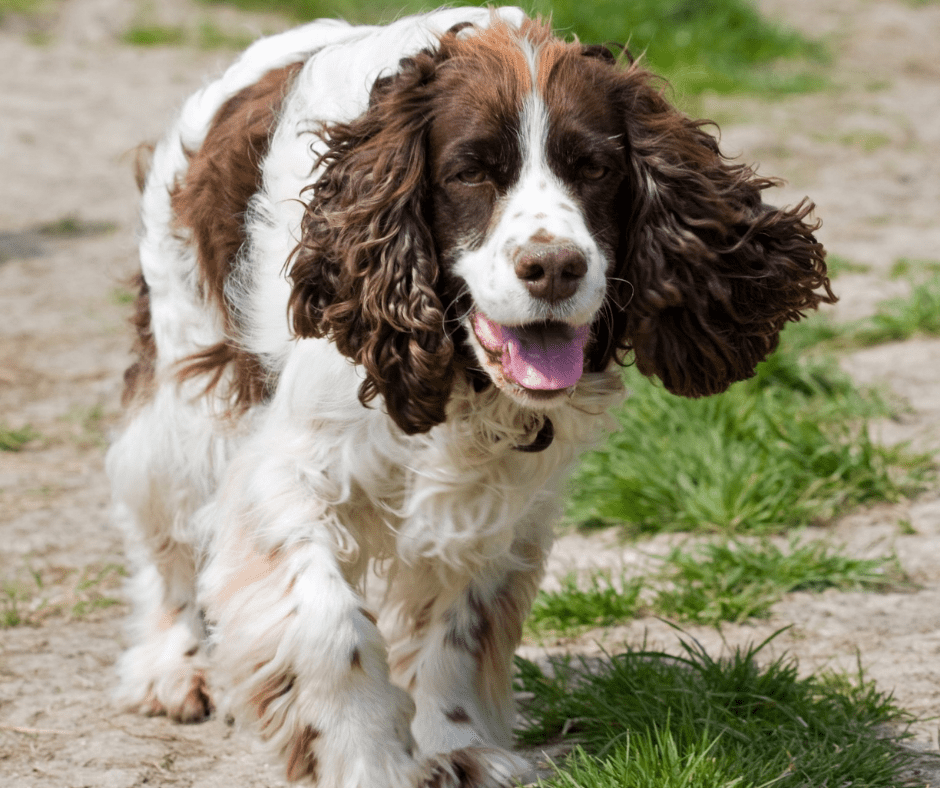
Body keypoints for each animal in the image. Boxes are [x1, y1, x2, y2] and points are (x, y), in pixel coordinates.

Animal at [106, 7, 832, 788]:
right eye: (469, 172)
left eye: (595, 169)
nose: (554, 267)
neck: (459, 374)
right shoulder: (291, 475)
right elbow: (331, 626)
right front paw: (370, 759)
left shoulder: (494, 499)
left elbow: (457, 629)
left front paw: (456, 745)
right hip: (190, 395)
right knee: (169, 543)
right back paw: (172, 668)